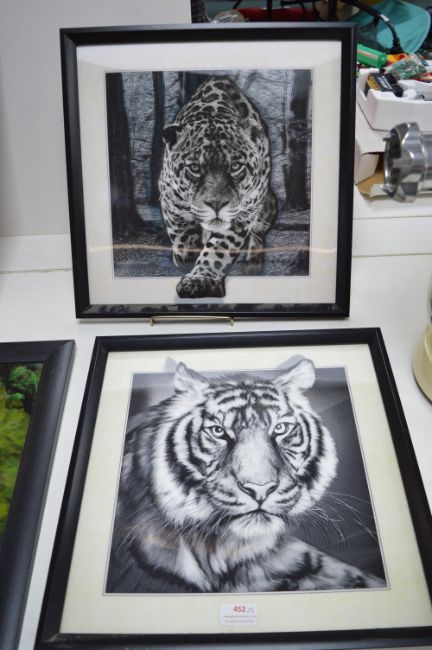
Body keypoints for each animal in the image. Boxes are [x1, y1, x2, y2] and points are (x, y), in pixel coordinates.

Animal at [158, 75, 277, 299]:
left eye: (236, 166)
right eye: (195, 168)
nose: (216, 204)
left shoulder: (242, 213)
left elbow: (219, 249)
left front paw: (201, 279)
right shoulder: (169, 197)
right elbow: (181, 239)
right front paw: (187, 255)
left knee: (258, 233)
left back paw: (253, 265)